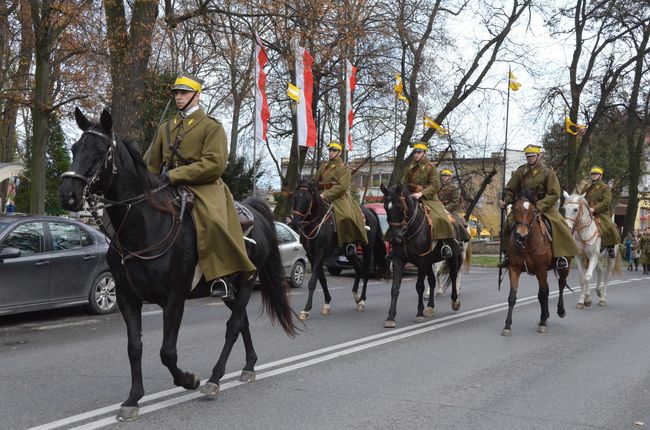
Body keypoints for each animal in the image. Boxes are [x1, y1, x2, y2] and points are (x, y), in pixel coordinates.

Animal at [60, 109, 294, 422]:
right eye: (75, 149)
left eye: (99, 152)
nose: (68, 195)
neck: (145, 227)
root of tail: (254, 210)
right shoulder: (127, 298)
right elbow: (134, 347)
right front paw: (133, 399)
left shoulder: (174, 298)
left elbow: (167, 352)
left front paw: (189, 380)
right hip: (228, 289)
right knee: (241, 321)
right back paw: (249, 366)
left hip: (246, 281)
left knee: (233, 326)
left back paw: (214, 380)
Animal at [292, 178, 388, 320]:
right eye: (295, 197)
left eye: (308, 199)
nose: (295, 223)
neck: (317, 222)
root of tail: (369, 211)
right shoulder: (311, 255)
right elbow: (322, 279)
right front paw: (327, 304)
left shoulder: (320, 253)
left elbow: (313, 281)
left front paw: (306, 309)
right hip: (349, 253)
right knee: (359, 268)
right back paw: (356, 296)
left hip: (367, 248)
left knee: (365, 271)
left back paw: (362, 300)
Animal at [380, 183, 466, 328]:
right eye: (386, 207)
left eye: (399, 206)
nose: (396, 237)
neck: (408, 232)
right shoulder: (399, 260)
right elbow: (395, 288)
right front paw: (390, 317)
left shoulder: (421, 261)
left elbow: (419, 286)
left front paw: (419, 314)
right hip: (430, 261)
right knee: (432, 280)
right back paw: (430, 307)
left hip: (452, 257)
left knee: (454, 276)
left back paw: (455, 301)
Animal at [502, 189, 568, 336]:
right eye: (515, 209)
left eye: (533, 211)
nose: (521, 235)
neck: (526, 244)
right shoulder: (514, 269)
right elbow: (512, 297)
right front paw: (507, 325)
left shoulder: (541, 269)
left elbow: (543, 294)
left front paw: (543, 323)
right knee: (547, 290)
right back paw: (545, 316)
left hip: (564, 268)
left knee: (560, 285)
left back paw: (559, 311)